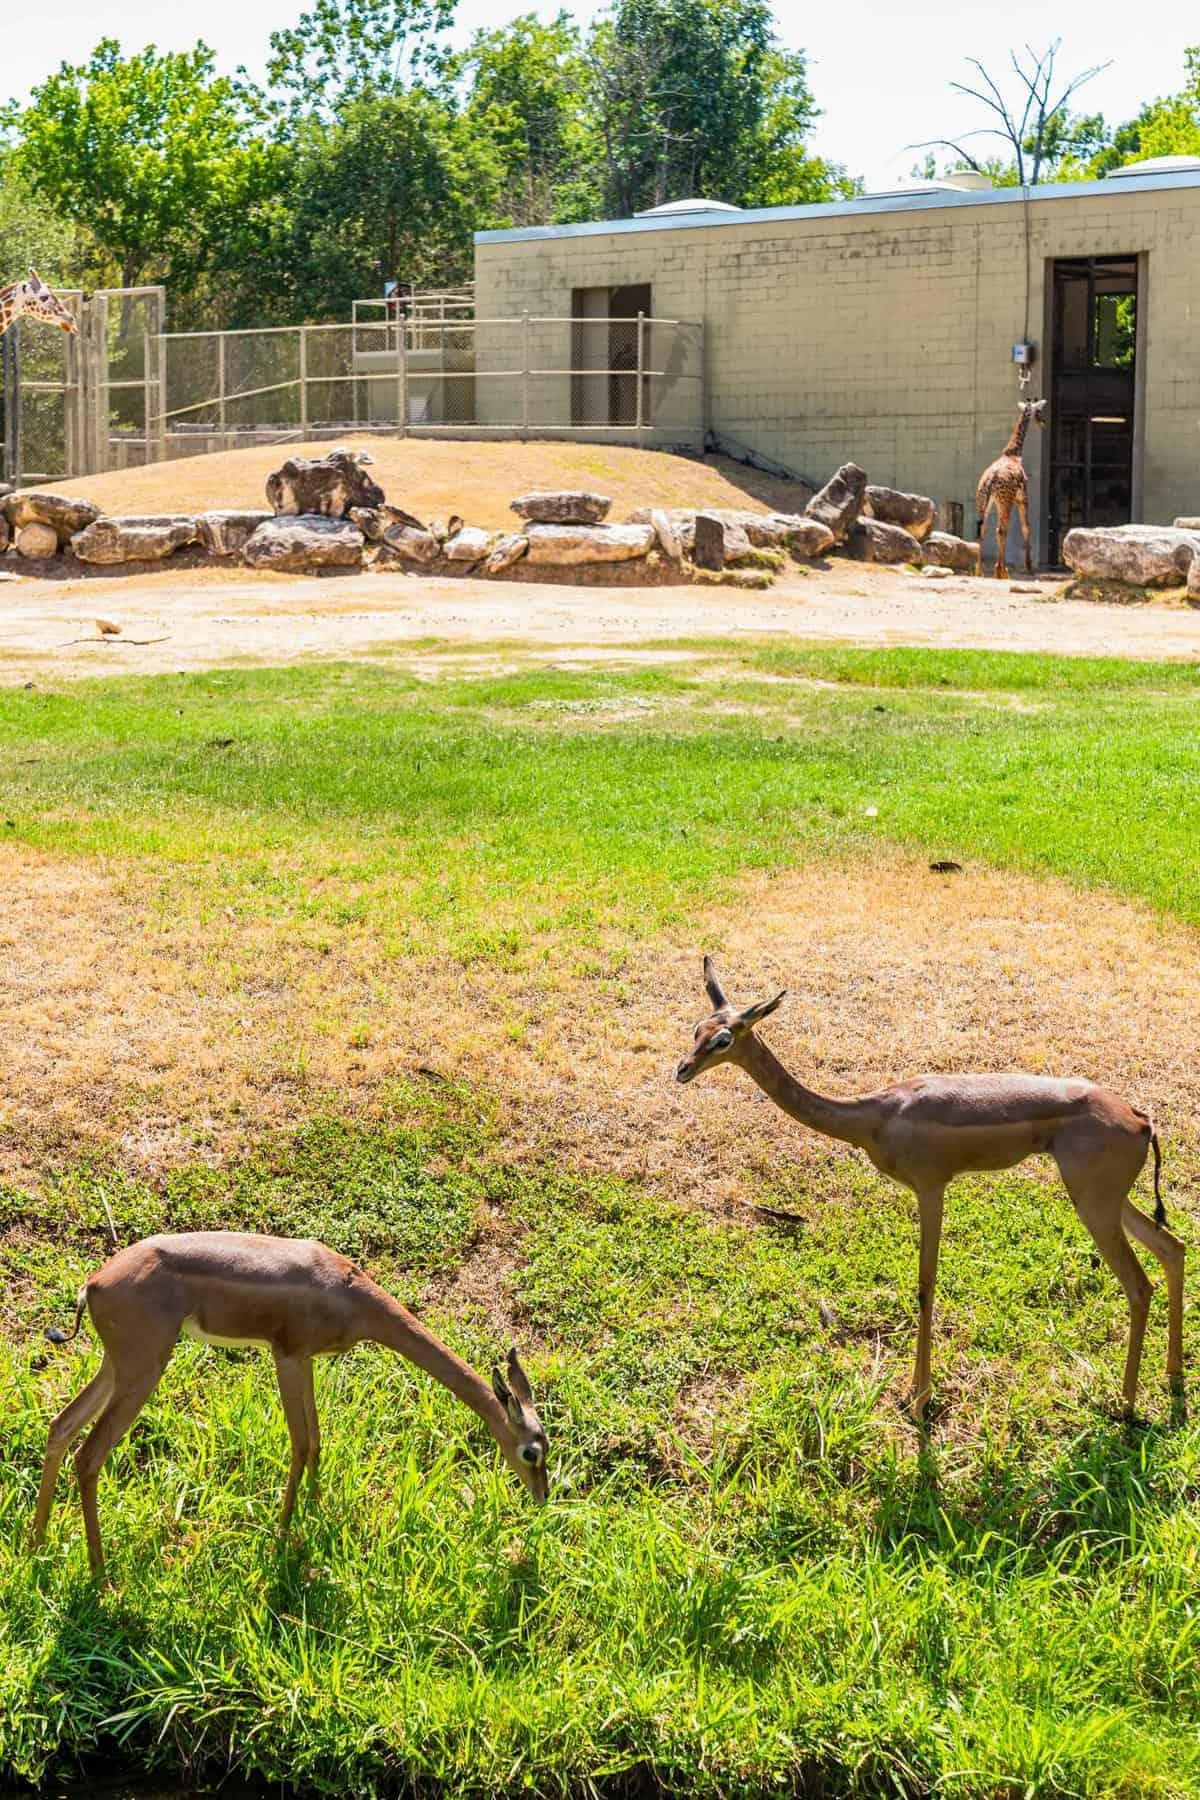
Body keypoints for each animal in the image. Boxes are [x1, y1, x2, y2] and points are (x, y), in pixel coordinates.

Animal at [978, 399, 1050, 576]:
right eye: (1039, 411)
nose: (1044, 423)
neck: (1013, 453)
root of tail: (990, 481)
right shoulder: (1022, 497)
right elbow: (1026, 527)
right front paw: (1029, 567)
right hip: (1005, 501)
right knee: (1001, 530)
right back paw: (1001, 571)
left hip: (985, 502)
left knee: (982, 529)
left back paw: (979, 572)